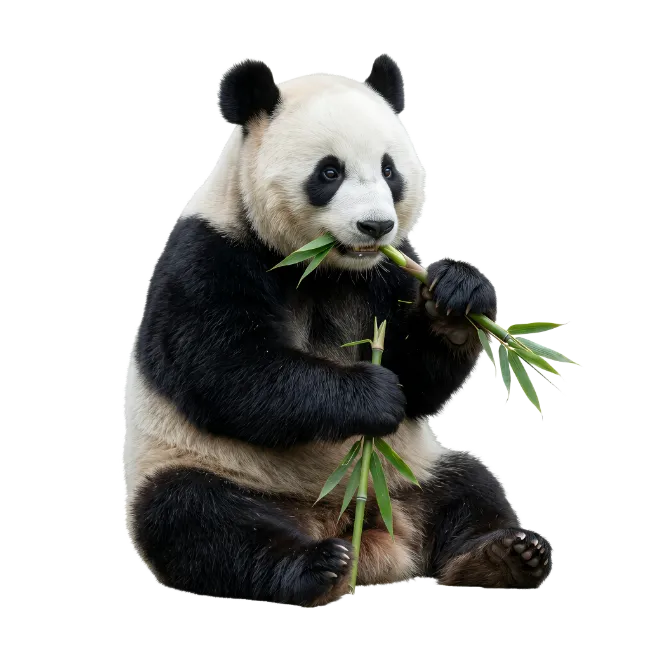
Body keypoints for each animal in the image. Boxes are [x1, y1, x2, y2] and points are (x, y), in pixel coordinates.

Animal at [123, 54, 553, 606]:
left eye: (389, 170)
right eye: (329, 172)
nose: (376, 226)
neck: (326, 266)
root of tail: (355, 525)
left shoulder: (390, 269)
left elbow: (420, 383)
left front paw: (458, 299)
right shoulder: (210, 253)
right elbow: (228, 369)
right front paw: (371, 395)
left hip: (411, 470)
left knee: (469, 485)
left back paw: (506, 555)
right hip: (201, 464)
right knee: (198, 519)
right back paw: (314, 567)